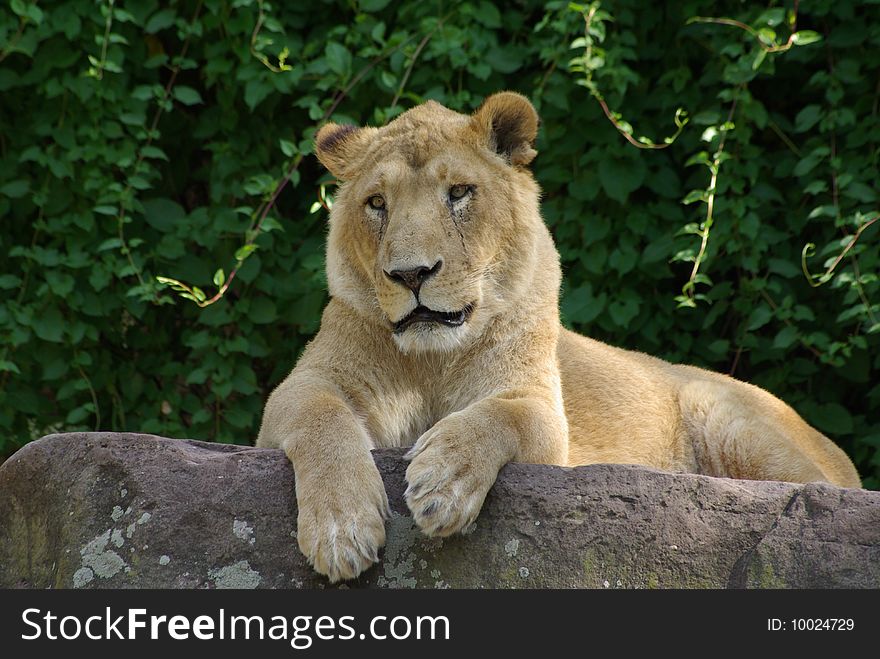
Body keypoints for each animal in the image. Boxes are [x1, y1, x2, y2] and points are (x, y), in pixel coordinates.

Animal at [254, 91, 860, 584]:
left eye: (459, 193)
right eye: (376, 203)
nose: (410, 274)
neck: (431, 361)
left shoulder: (544, 411)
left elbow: (502, 416)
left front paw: (442, 483)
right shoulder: (300, 390)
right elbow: (322, 420)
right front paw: (341, 529)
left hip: (729, 417)